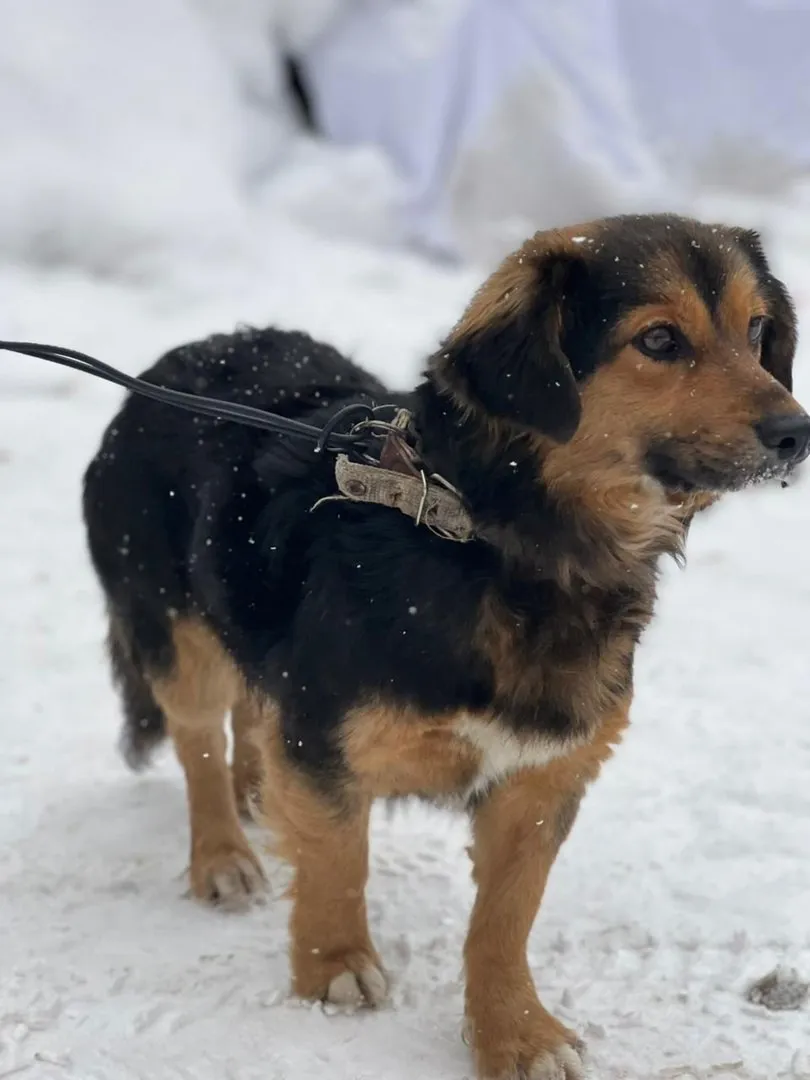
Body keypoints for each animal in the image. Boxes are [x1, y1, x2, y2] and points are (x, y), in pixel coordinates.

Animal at [81, 214, 807, 1075]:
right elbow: (338, 856)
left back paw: (255, 792)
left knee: (253, 716)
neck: (504, 543)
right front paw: (333, 965)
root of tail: (175, 359)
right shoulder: (328, 731)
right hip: (174, 633)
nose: (798, 432)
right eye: (659, 340)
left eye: (758, 331)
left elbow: (506, 918)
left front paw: (516, 1030)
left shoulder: (540, 778)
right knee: (197, 739)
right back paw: (222, 854)